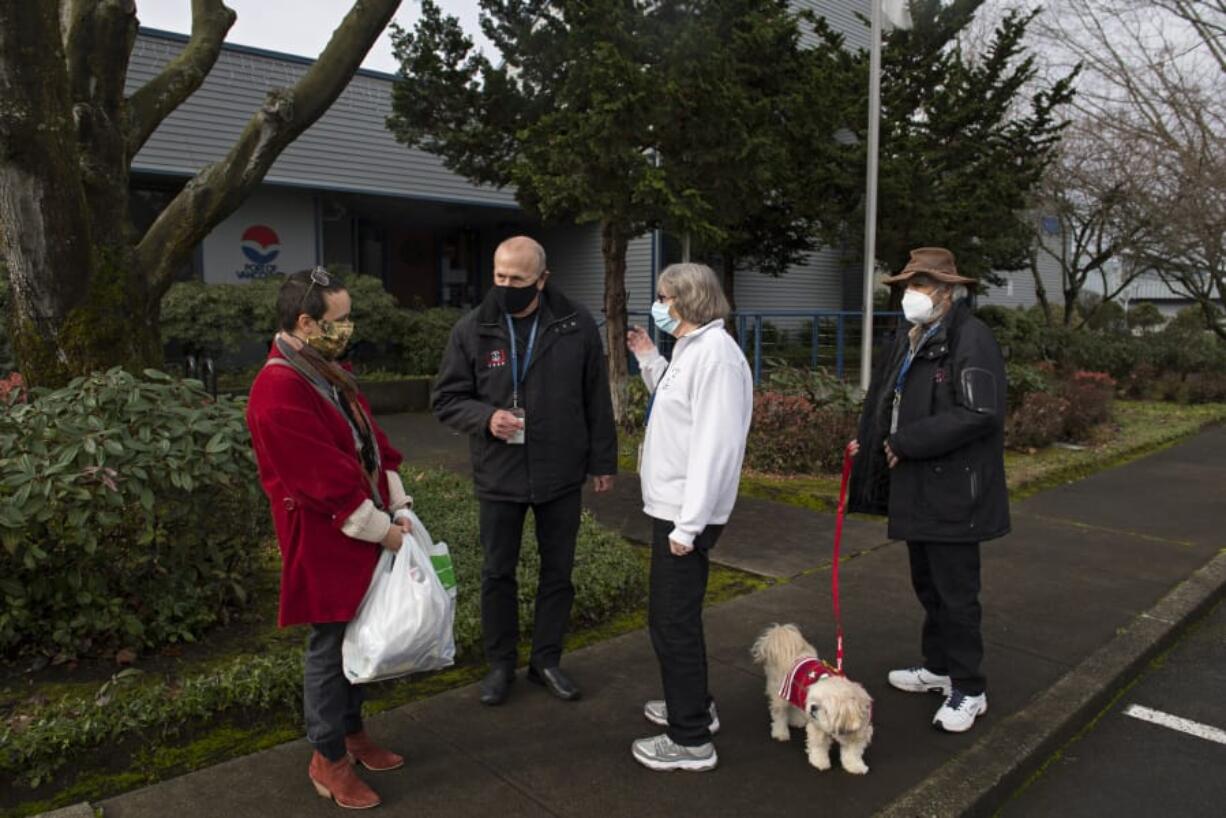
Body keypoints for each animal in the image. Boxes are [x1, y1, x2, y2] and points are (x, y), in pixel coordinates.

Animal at [745, 627, 872, 775]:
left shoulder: (857, 734)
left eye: (826, 710)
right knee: (779, 714)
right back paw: (780, 732)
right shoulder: (817, 728)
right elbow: (818, 747)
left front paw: (855, 766)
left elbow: (852, 753)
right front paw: (820, 762)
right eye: (814, 701)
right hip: (781, 695)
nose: (812, 708)